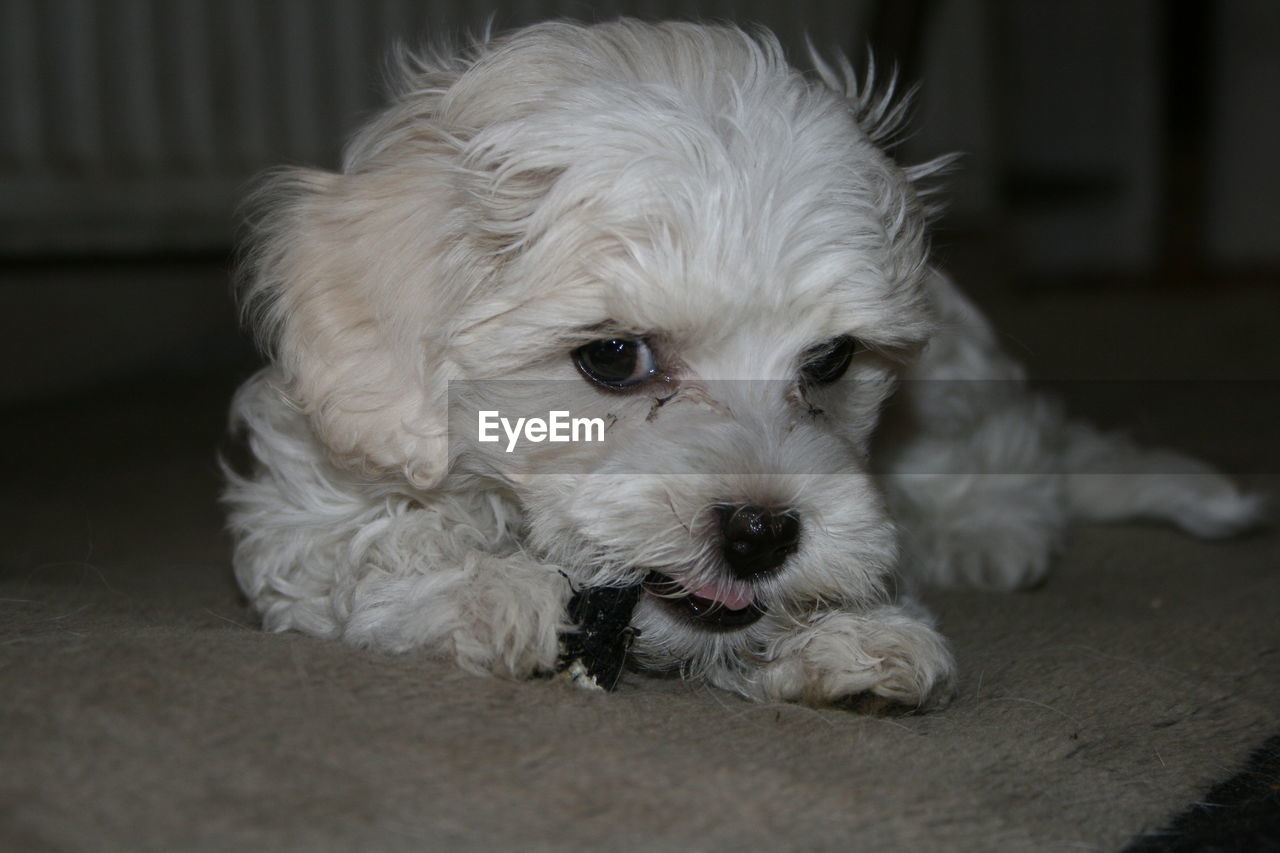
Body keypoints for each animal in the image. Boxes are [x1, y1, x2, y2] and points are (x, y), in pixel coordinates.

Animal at [222, 21, 1259, 712]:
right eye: (613, 357)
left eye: (831, 359)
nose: (761, 533)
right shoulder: (311, 506)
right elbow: (366, 556)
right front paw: (491, 591)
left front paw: (855, 630)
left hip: (961, 379)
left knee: (1017, 457)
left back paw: (990, 532)